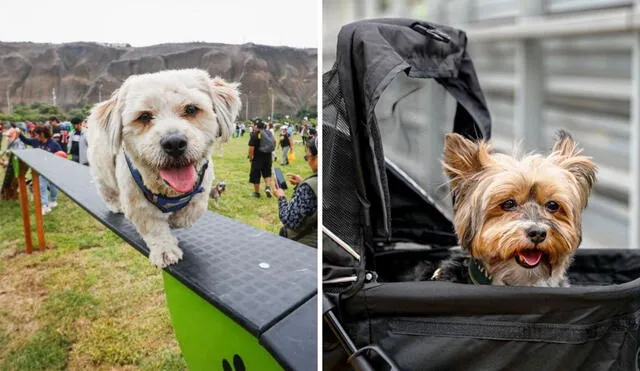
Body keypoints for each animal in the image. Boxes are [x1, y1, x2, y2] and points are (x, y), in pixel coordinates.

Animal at [86, 68, 241, 268]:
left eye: (191, 109)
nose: (174, 143)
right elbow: (155, 228)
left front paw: (176, 220)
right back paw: (115, 205)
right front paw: (165, 250)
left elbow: (194, 208)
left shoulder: (203, 183)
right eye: (144, 116)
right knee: (107, 191)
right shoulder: (137, 203)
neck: (169, 191)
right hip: (102, 171)